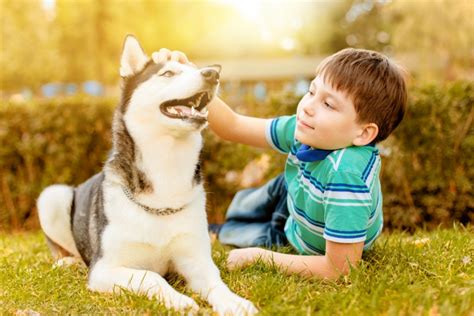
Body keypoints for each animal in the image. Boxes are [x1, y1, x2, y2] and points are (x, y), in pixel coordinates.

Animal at [37, 35, 258, 316]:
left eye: (196, 68)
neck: (167, 165)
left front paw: (234, 301)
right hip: (52, 196)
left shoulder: (196, 260)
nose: (212, 74)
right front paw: (179, 301)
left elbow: (216, 283)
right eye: (168, 73)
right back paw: (70, 262)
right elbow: (150, 276)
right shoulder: (104, 269)